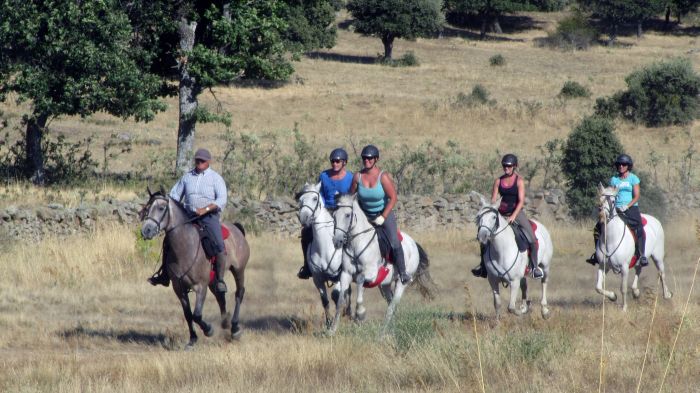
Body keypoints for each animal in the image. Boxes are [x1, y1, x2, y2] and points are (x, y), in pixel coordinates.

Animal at [141, 188, 250, 348]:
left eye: (161, 208)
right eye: (147, 208)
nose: (146, 230)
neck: (186, 246)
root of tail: (236, 228)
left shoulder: (200, 286)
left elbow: (197, 315)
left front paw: (209, 330)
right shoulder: (179, 288)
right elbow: (188, 315)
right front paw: (192, 339)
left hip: (238, 270)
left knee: (239, 293)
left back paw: (235, 328)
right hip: (214, 279)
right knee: (220, 296)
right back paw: (225, 323)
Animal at [296, 182, 350, 326]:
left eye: (315, 198)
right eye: (300, 199)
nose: (304, 218)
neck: (326, 247)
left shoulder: (340, 275)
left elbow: (337, 296)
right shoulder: (317, 278)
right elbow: (325, 300)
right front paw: (329, 322)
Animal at [326, 194, 432, 334]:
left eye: (348, 215)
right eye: (334, 216)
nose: (337, 241)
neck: (357, 244)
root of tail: (413, 243)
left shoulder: (371, 274)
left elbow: (359, 281)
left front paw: (360, 314)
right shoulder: (346, 274)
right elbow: (340, 301)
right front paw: (332, 330)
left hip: (401, 282)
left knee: (392, 305)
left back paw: (382, 332)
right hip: (384, 285)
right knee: (390, 302)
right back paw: (390, 330)